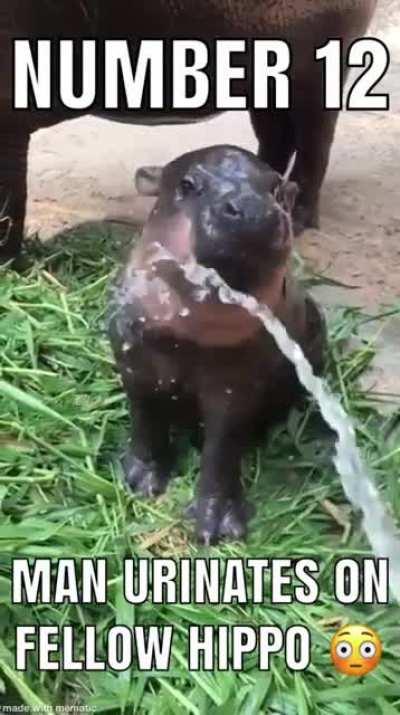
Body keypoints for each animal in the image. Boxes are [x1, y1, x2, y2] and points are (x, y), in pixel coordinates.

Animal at [108, 145, 326, 544]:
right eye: (187, 184)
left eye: (276, 190)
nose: (253, 209)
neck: (189, 333)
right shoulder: (132, 360)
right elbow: (144, 419)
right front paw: (138, 483)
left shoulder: (234, 387)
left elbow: (222, 449)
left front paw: (216, 529)